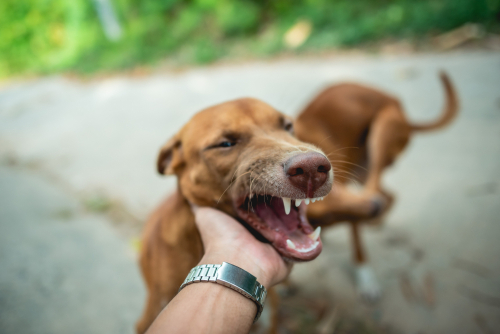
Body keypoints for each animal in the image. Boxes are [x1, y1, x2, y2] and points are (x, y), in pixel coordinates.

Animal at [294, 71, 458, 300]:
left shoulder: (350, 202)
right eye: (325, 216)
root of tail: (399, 106)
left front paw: (367, 281)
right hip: (363, 171)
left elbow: (358, 248)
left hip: (380, 136)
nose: (372, 209)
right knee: (389, 194)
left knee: (381, 191)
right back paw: (377, 216)